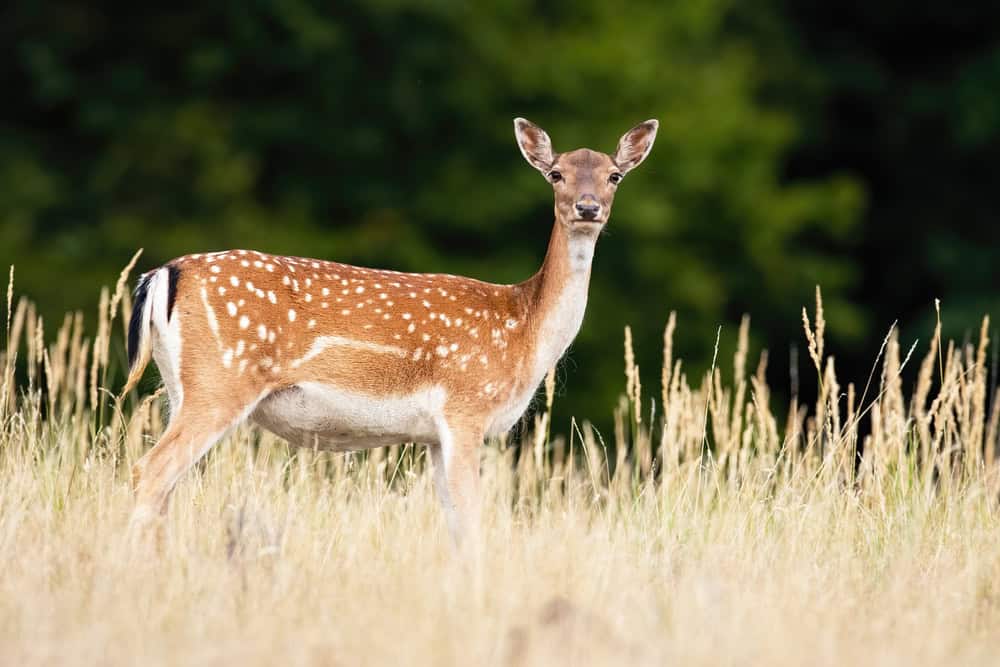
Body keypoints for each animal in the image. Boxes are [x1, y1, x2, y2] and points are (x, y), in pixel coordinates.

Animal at [122, 118, 658, 545]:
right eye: (556, 173)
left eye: (614, 175)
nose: (587, 207)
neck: (524, 330)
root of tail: (163, 274)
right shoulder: (466, 408)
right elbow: (472, 521)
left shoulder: (434, 436)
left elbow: (454, 522)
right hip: (221, 380)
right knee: (150, 471)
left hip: (182, 385)